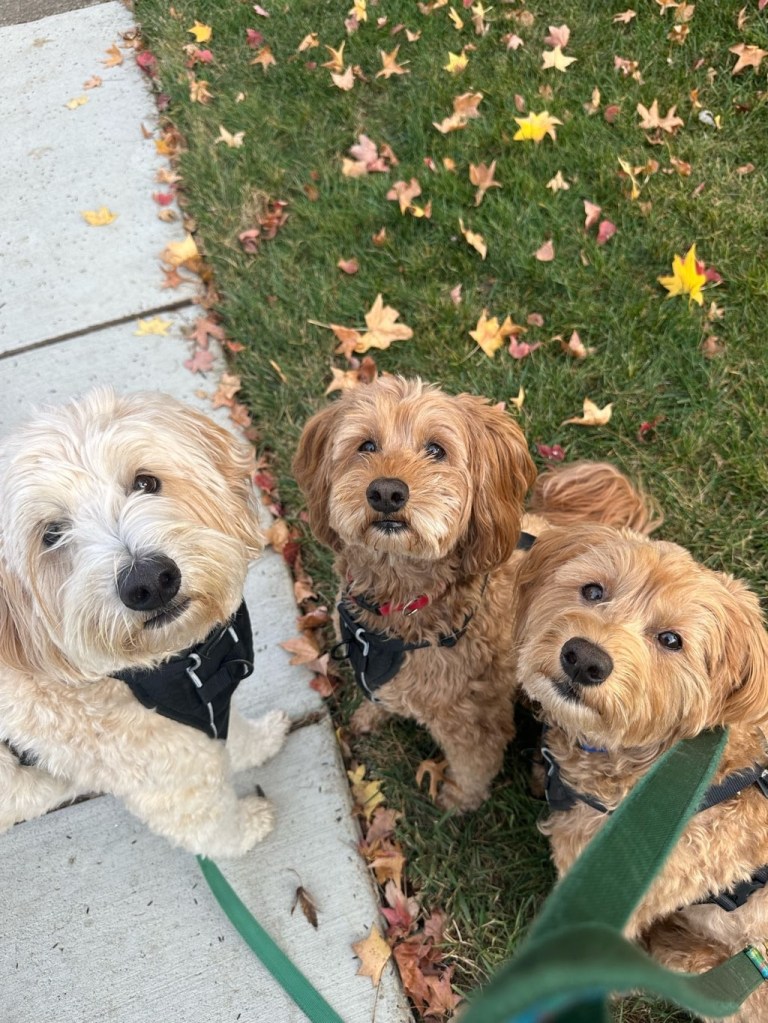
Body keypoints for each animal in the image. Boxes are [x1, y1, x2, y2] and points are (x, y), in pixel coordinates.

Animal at [0, 389, 290, 858]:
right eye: (51, 534)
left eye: (145, 483)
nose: (149, 582)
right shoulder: (170, 779)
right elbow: (212, 830)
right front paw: (249, 827)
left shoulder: (205, 716)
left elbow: (235, 734)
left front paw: (262, 740)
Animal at [293, 376, 653, 810]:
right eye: (366, 446)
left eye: (436, 450)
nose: (386, 492)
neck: (402, 607)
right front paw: (368, 716)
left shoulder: (472, 722)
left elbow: (473, 766)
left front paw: (458, 800)